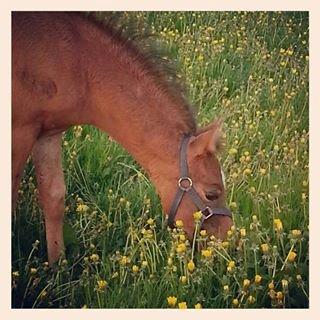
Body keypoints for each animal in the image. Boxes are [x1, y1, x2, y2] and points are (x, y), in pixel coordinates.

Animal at [12, 11, 232, 264]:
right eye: (212, 193)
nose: (227, 241)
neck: (77, 63)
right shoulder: (21, 130)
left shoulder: (48, 132)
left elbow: (54, 197)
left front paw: (58, 267)